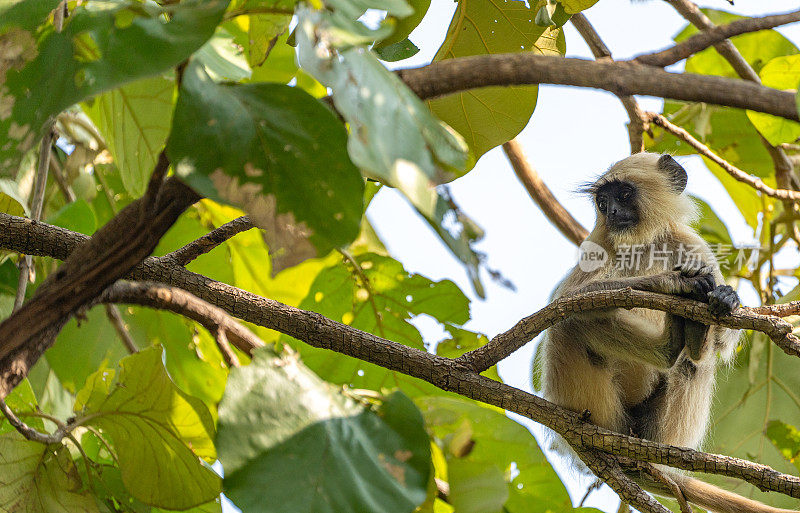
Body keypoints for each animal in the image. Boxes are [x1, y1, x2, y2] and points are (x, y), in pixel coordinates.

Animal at [540, 153, 796, 512]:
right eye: (603, 203)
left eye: (624, 195)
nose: (612, 213)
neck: (643, 245)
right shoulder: (598, 243)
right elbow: (567, 302)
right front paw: (673, 283)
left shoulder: (688, 243)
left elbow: (725, 340)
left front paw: (726, 298)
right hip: (589, 400)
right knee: (570, 323)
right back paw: (670, 342)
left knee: (696, 362)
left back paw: (693, 338)